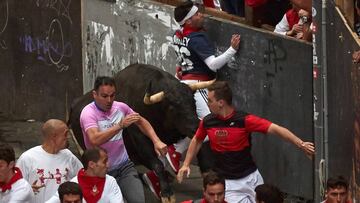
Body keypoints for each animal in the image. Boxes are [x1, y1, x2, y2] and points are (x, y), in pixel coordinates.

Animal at [68, 63, 214, 201]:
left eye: (193, 101)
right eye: (172, 106)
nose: (196, 126)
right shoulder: (140, 138)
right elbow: (157, 164)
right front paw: (166, 193)